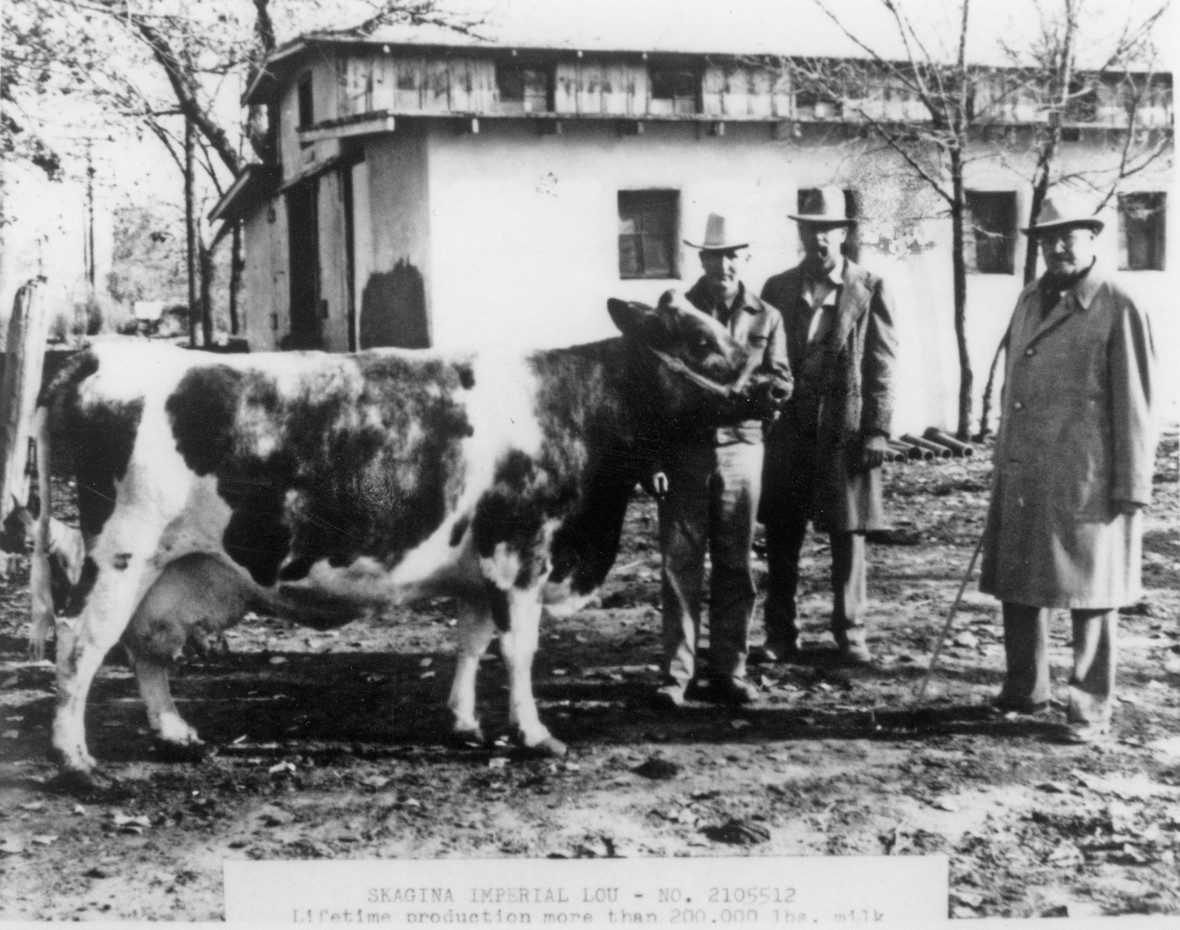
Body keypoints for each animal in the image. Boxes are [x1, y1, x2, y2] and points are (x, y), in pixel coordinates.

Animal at [34, 296, 783, 783]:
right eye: (702, 343)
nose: (779, 385)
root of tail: (98, 353)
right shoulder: (520, 555)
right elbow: (519, 651)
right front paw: (535, 735)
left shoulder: (482, 568)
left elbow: (472, 643)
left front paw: (464, 725)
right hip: (121, 552)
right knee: (82, 643)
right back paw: (77, 762)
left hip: (172, 567)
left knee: (145, 643)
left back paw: (176, 734)